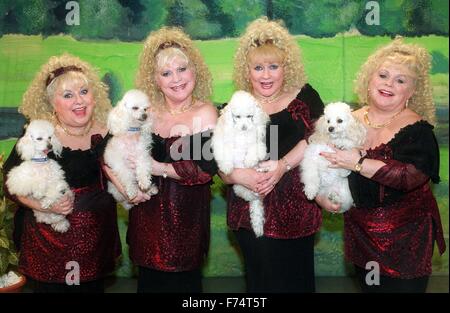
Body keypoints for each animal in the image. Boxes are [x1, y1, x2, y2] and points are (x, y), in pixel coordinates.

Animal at [213, 90, 268, 236]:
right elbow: (224, 153)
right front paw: (226, 167)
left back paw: (262, 170)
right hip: (240, 187)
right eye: (237, 117)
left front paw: (249, 161)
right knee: (251, 196)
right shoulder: (222, 142)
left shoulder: (257, 143)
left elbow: (255, 150)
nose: (244, 127)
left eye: (250, 116)